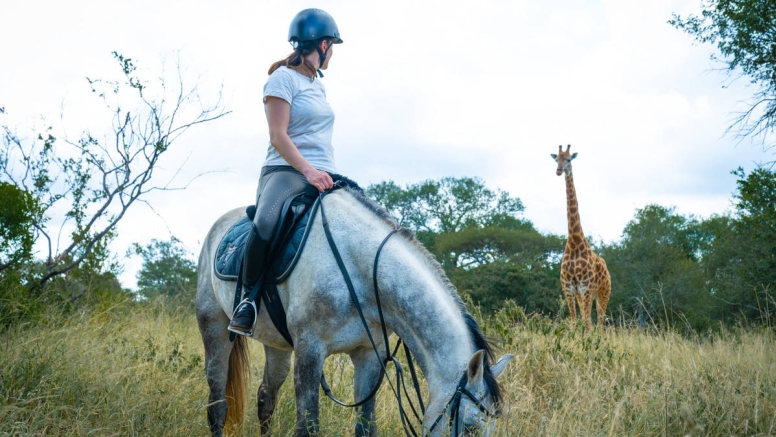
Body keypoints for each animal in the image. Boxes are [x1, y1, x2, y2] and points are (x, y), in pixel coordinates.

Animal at [197, 186, 516, 434]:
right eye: (470, 427)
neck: (359, 268)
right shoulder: (309, 351)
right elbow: (308, 426)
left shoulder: (368, 356)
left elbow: (365, 427)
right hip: (213, 326)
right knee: (217, 405)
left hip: (276, 345)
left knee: (266, 399)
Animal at [552, 145, 612, 328]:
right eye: (556, 159)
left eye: (568, 159)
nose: (559, 171)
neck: (574, 242)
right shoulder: (569, 289)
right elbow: (574, 321)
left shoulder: (586, 288)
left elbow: (587, 322)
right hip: (585, 295)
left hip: (603, 293)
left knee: (600, 323)